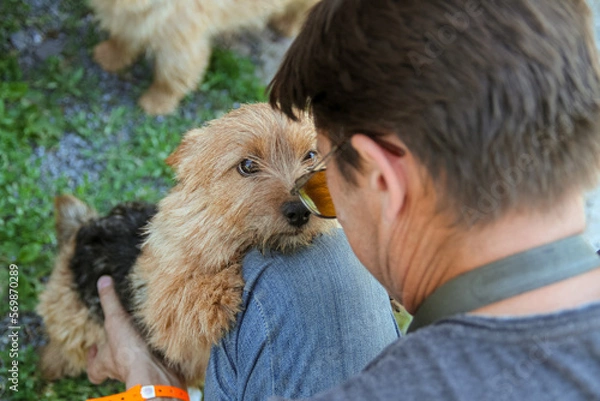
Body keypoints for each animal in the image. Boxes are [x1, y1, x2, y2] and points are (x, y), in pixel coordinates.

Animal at [36, 102, 338, 384]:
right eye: (247, 166)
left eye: (311, 156)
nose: (301, 211)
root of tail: (84, 227)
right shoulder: (162, 312)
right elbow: (184, 299)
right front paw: (222, 287)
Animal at [90, 0, 318, 115]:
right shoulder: (133, 19)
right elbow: (125, 35)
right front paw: (111, 56)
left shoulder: (181, 43)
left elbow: (171, 75)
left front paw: (157, 102)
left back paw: (288, 24)